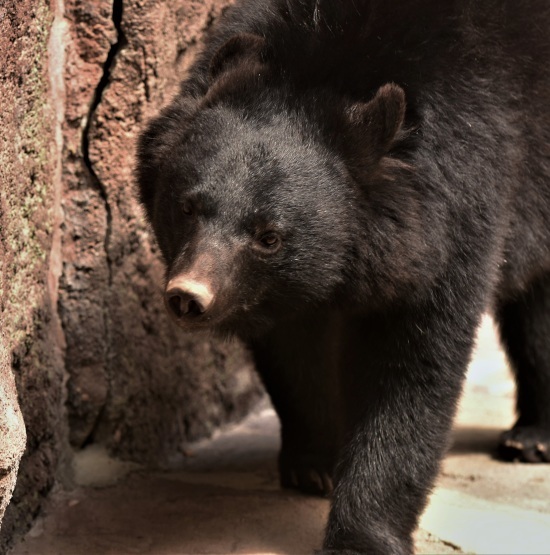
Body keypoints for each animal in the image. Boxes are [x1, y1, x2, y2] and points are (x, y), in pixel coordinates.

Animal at [137, 2, 550, 552]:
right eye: (187, 207)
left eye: (269, 235)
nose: (188, 296)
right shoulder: (271, 291)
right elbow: (294, 349)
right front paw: (314, 465)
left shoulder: (458, 200)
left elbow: (413, 366)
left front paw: (361, 536)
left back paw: (532, 439)